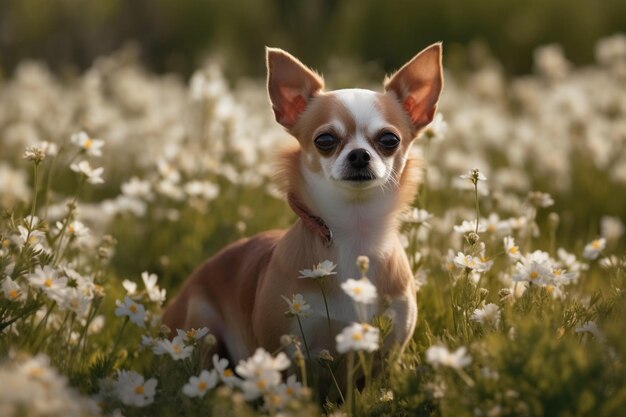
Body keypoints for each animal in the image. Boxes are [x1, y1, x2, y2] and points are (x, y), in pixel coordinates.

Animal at [163, 44, 442, 362]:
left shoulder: (389, 350)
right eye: (325, 139)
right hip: (201, 325)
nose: (359, 154)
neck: (354, 231)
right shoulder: (287, 347)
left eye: (389, 140)